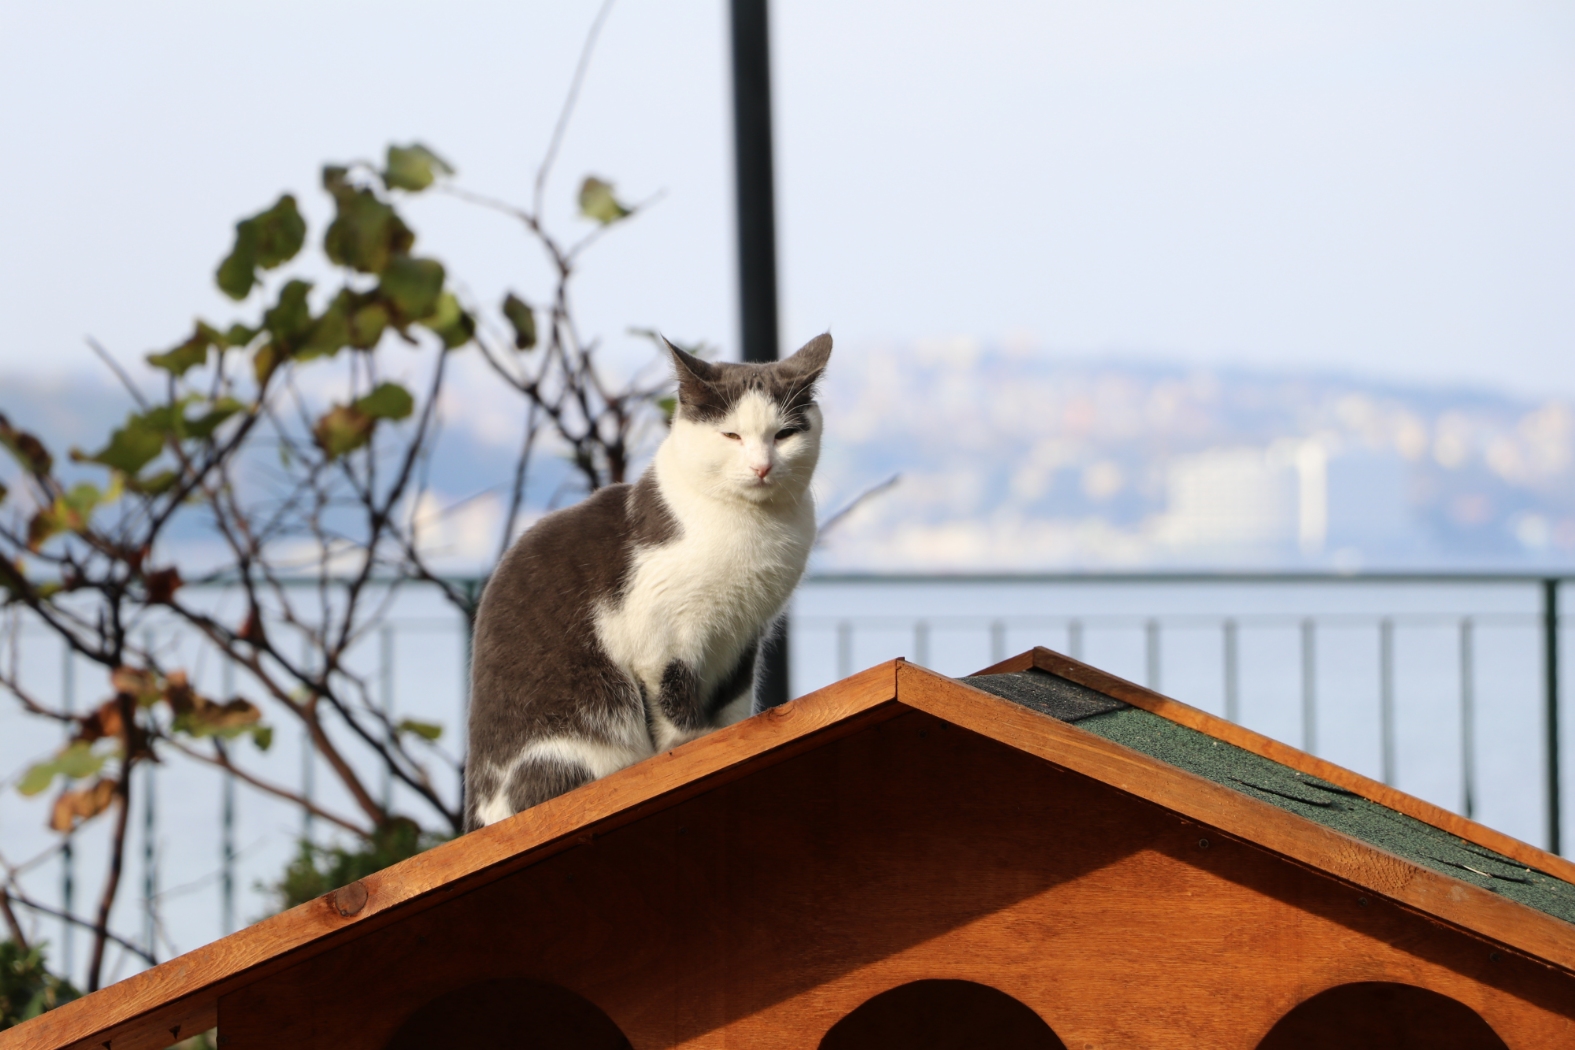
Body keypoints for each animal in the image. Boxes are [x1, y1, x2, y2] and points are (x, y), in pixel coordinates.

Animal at [463, 335, 837, 831]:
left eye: (784, 435)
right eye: (731, 436)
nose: (761, 467)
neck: (755, 528)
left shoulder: (744, 633)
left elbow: (736, 698)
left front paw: (731, 736)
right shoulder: (660, 635)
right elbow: (674, 701)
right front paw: (692, 744)